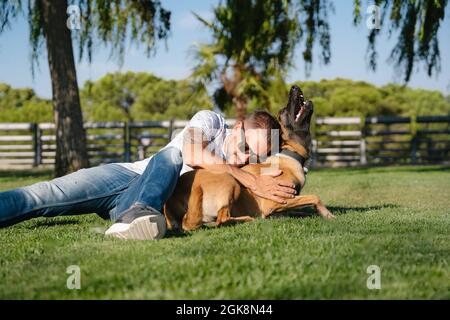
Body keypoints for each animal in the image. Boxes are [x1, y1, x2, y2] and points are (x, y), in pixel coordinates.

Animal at [164, 85, 334, 230]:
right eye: (283, 111)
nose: (294, 87)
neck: (288, 153)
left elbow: (301, 209)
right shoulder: (273, 202)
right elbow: (314, 197)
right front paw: (327, 214)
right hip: (230, 180)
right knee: (221, 219)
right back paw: (247, 219)